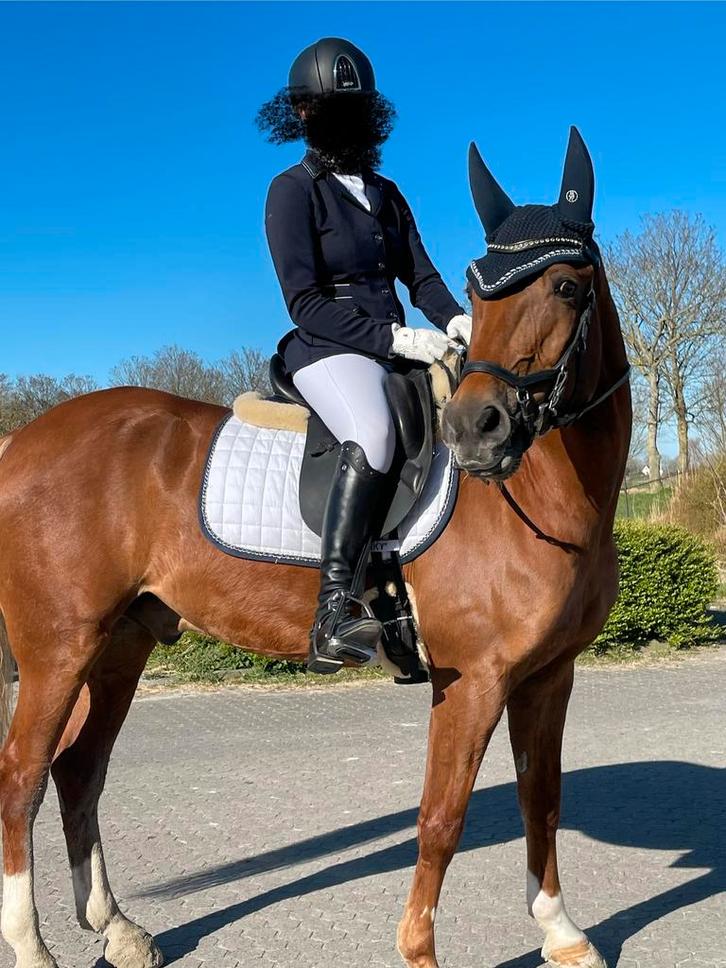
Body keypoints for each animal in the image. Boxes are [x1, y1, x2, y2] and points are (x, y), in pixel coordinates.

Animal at [0, 128, 630, 968]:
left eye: (564, 287)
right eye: (478, 293)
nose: (474, 431)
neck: (548, 493)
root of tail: (21, 441)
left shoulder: (548, 675)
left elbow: (543, 799)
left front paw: (562, 932)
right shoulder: (473, 679)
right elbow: (441, 820)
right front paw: (421, 952)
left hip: (120, 645)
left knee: (79, 770)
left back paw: (120, 930)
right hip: (57, 648)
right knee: (23, 778)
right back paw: (33, 946)